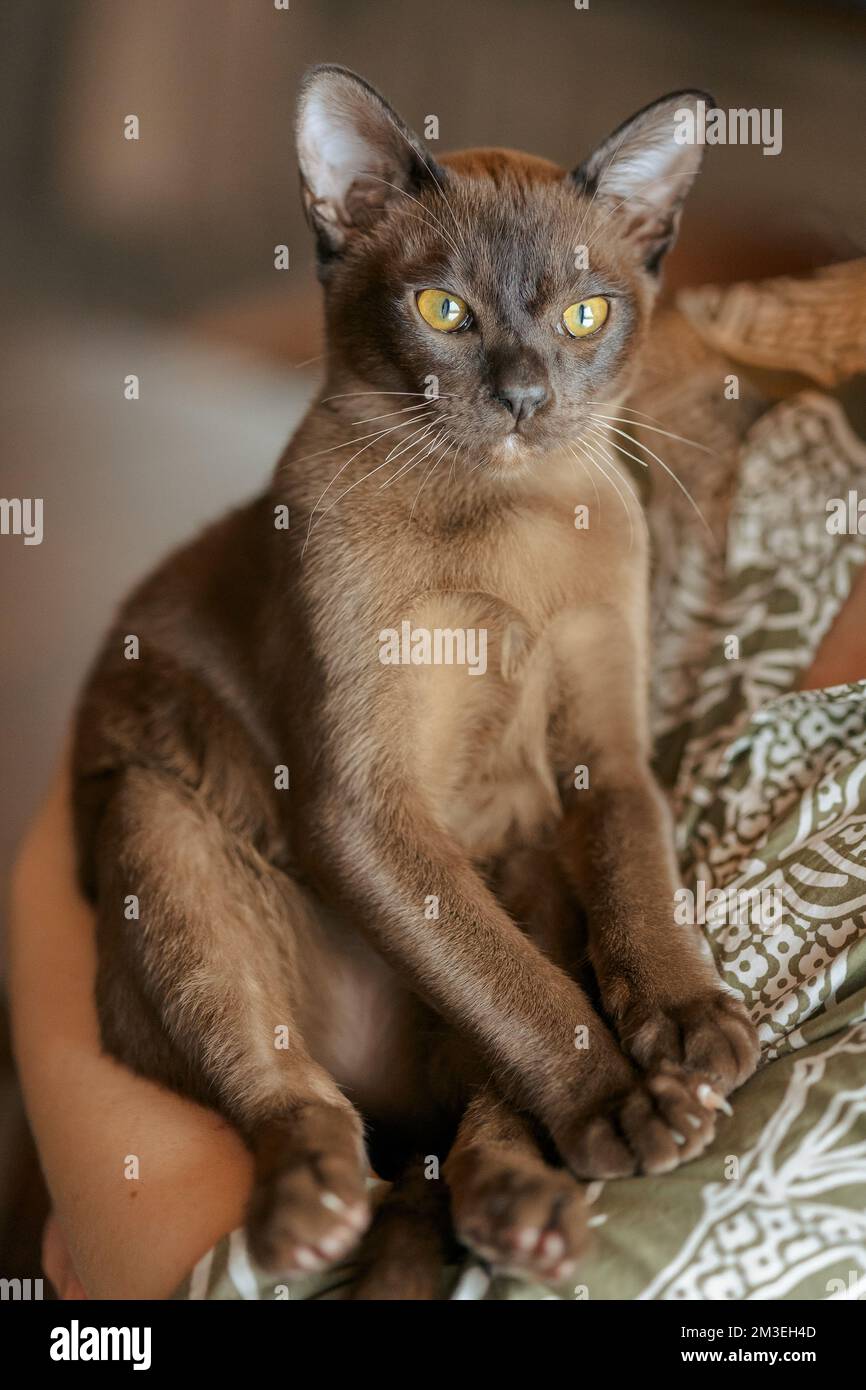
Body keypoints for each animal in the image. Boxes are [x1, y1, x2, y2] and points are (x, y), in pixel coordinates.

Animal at [72, 67, 756, 1289]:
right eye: (444, 312)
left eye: (585, 315)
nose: (524, 396)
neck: (503, 525)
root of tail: (394, 1106)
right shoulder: (366, 808)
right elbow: (514, 988)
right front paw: (621, 1102)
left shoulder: (603, 757)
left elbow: (637, 881)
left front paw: (688, 1025)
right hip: (165, 821)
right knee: (303, 1100)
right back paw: (322, 1209)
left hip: (525, 856)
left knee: (468, 1119)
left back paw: (522, 1208)